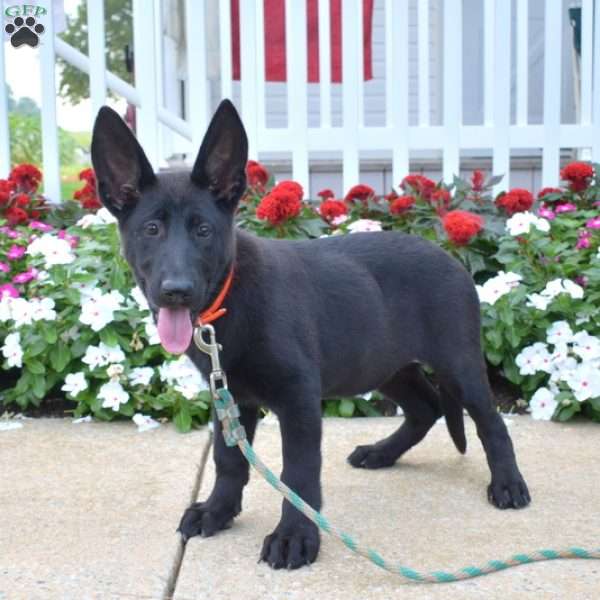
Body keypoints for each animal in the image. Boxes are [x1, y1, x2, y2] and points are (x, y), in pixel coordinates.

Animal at [90, 101, 528, 568]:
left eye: (203, 230)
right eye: (151, 229)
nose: (177, 290)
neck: (230, 297)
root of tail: (451, 258)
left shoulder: (298, 397)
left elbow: (298, 472)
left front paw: (294, 536)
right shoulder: (229, 394)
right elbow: (229, 459)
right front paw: (217, 510)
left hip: (457, 361)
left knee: (489, 422)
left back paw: (508, 485)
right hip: (381, 363)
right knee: (425, 406)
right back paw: (381, 453)